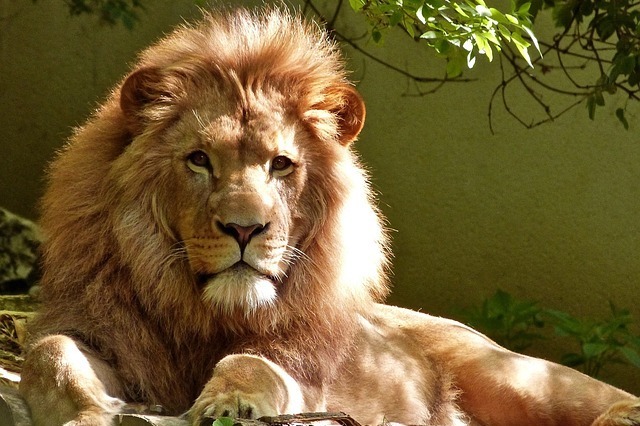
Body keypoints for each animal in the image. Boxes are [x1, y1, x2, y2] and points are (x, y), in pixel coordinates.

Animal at [19, 6, 640, 426]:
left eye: (281, 164)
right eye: (199, 160)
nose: (245, 229)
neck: (204, 314)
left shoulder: (301, 373)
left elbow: (252, 363)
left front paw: (230, 401)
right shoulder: (98, 331)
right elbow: (50, 356)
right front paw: (92, 412)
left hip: (510, 374)